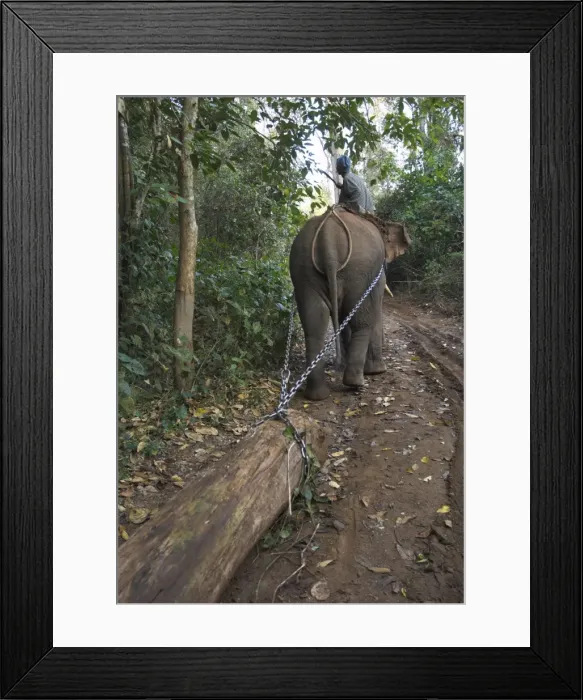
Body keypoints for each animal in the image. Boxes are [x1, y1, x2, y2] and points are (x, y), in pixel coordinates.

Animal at [289, 206, 410, 401]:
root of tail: (327, 234)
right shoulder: (376, 274)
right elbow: (374, 308)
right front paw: (378, 371)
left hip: (303, 269)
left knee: (314, 323)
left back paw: (317, 395)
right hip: (359, 271)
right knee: (362, 319)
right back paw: (356, 382)